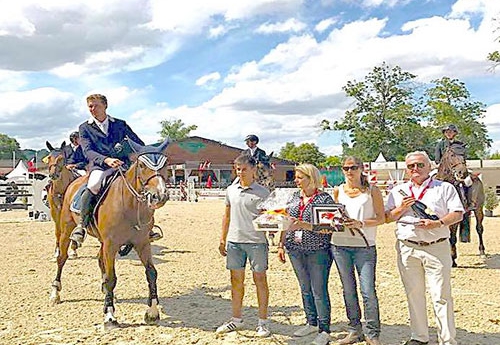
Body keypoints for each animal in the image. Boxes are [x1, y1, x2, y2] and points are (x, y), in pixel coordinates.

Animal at [49, 138, 170, 326]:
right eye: (142, 165)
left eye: (166, 164)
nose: (160, 196)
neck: (130, 205)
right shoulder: (111, 245)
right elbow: (112, 278)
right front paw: (110, 314)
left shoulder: (142, 243)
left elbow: (151, 273)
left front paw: (152, 312)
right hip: (66, 229)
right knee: (62, 258)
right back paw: (55, 292)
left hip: (102, 241)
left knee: (100, 260)